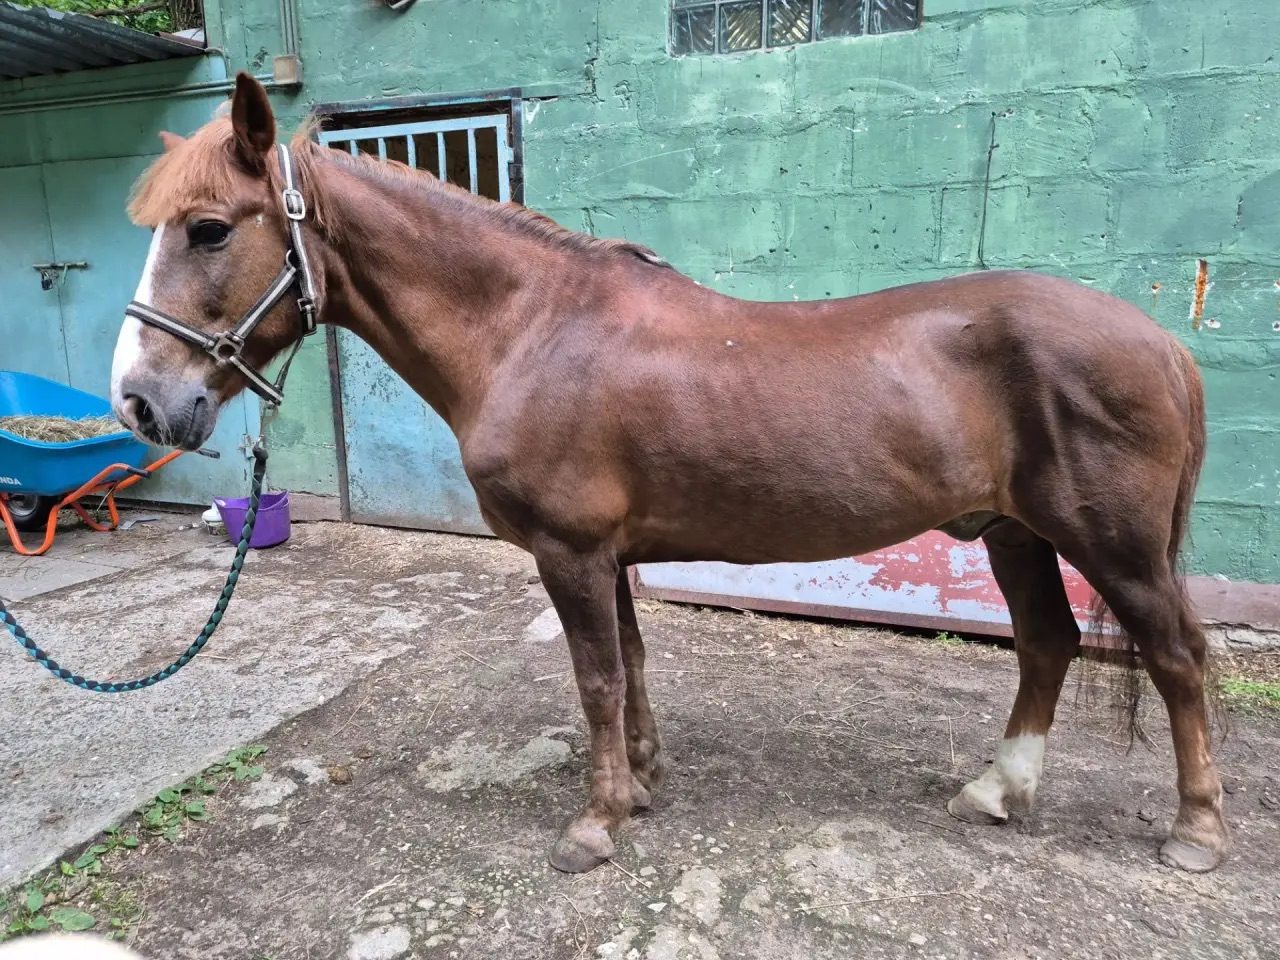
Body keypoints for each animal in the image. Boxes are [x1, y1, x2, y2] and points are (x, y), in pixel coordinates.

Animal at [109, 73, 1227, 874]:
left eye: (209, 228)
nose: (141, 402)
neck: (531, 330)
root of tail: (1163, 345)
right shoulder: (608, 553)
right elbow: (634, 665)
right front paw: (642, 782)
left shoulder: (568, 551)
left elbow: (597, 677)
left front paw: (595, 825)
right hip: (1013, 534)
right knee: (1045, 646)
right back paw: (997, 792)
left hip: (1111, 546)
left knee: (1176, 658)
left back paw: (1196, 833)